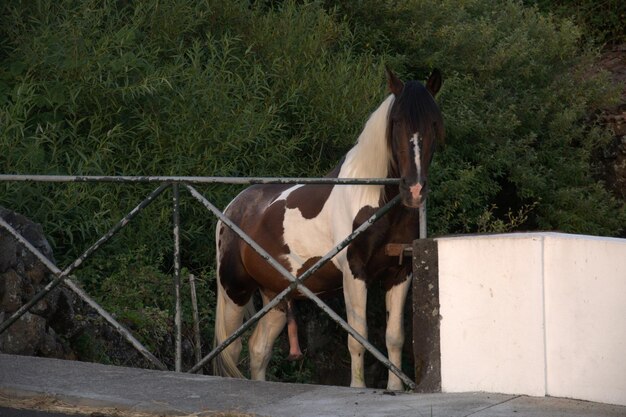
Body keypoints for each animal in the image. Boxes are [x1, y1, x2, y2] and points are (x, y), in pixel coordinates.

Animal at [212, 66, 442, 388]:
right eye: (396, 121)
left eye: (434, 121)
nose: (415, 189)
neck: (371, 196)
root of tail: (234, 207)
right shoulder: (354, 273)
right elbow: (358, 339)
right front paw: (358, 388)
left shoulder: (400, 273)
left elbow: (394, 337)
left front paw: (394, 388)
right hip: (235, 290)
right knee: (231, 350)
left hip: (276, 296)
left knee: (259, 349)